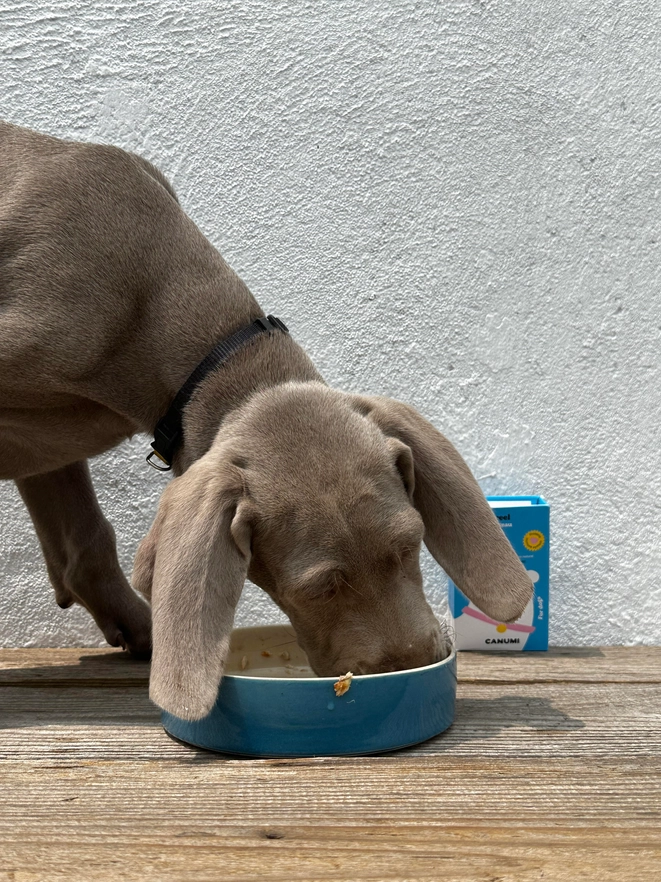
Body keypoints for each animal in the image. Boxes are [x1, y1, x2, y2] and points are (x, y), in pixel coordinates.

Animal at [0, 120, 532, 720]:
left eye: (411, 544)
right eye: (319, 588)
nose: (412, 667)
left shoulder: (46, 451)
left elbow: (82, 542)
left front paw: (153, 636)